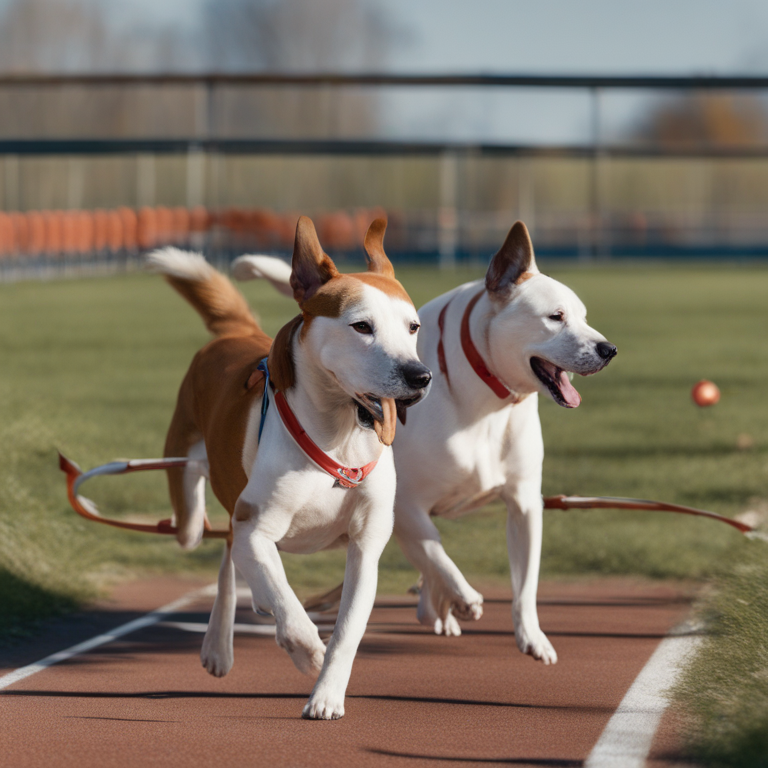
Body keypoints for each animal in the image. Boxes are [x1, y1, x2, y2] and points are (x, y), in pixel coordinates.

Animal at [147, 213, 428, 716]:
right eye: (362, 326)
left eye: (413, 326)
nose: (420, 376)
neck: (338, 436)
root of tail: (237, 332)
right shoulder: (257, 526)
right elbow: (289, 607)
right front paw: (307, 652)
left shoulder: (366, 545)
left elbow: (348, 629)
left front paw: (327, 692)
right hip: (195, 511)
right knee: (214, 537)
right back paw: (222, 639)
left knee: (232, 551)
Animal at [236, 219, 616, 664]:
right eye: (556, 317)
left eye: (584, 317)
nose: (608, 349)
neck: (484, 402)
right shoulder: (405, 505)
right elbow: (435, 552)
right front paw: (461, 596)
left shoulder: (523, 503)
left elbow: (524, 583)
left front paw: (531, 636)